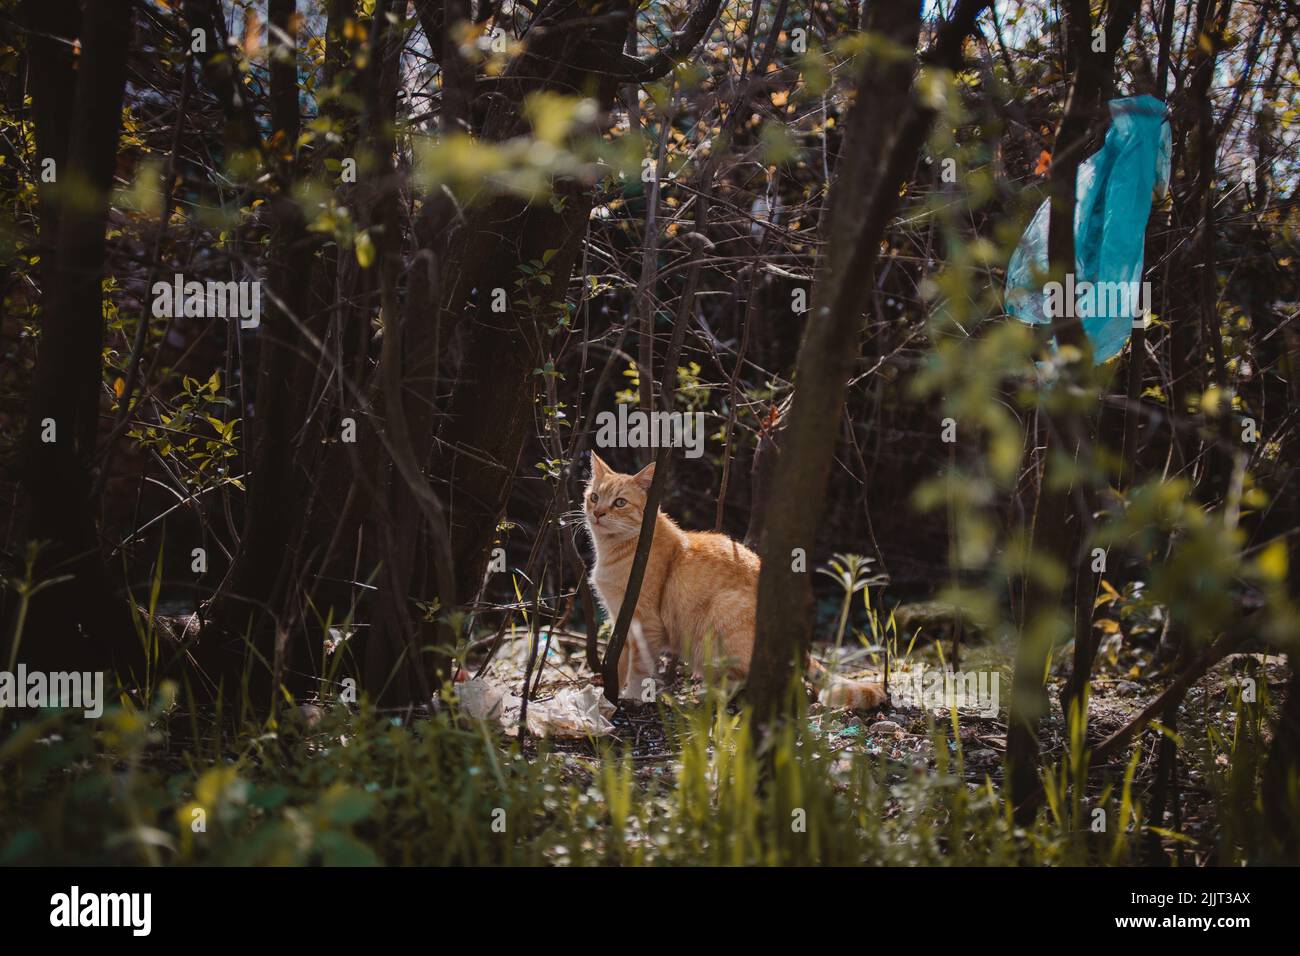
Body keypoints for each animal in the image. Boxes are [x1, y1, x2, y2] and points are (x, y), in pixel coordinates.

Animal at [585, 455, 889, 712]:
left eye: (620, 503)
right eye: (594, 497)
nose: (598, 513)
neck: (614, 551)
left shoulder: (645, 623)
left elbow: (639, 669)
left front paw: (633, 697)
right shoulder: (621, 621)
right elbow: (617, 663)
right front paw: (608, 697)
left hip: (720, 617)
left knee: (743, 679)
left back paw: (709, 695)